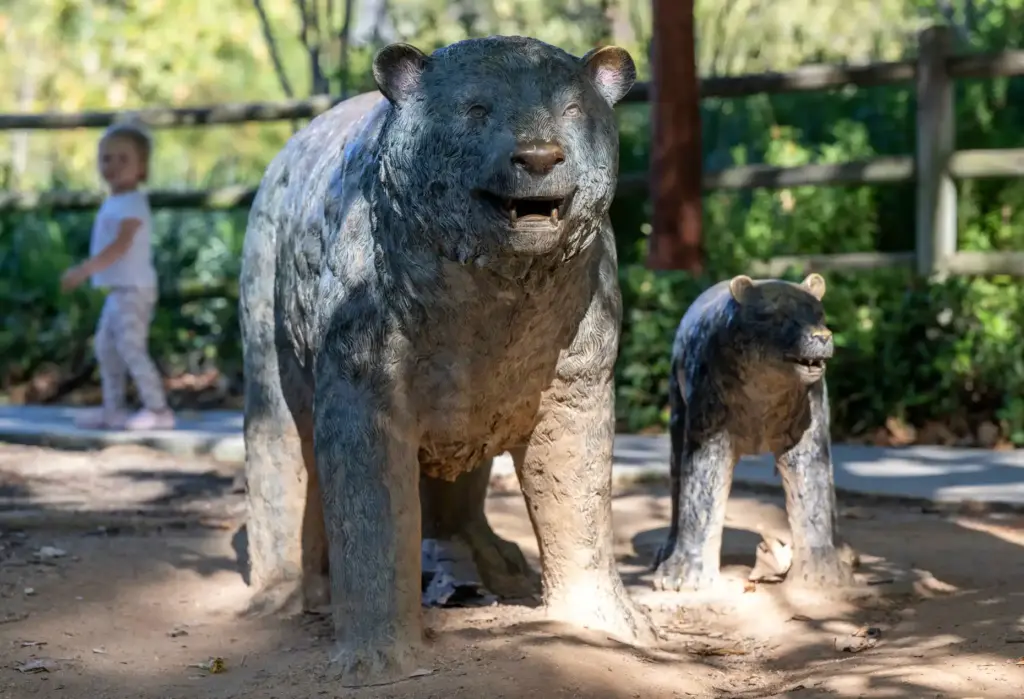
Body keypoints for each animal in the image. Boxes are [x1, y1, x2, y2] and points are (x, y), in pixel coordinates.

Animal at [238, 35, 657, 686]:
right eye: (476, 110)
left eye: (570, 110)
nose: (539, 155)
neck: (491, 296)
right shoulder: (362, 388)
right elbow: (371, 519)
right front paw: (376, 655)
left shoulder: (576, 384)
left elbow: (578, 502)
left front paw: (612, 625)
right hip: (268, 346)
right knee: (277, 459)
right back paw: (284, 595)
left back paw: (492, 562)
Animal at [651, 272, 855, 592]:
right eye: (779, 314)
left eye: (819, 314)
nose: (821, 336)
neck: (765, 390)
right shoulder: (708, 434)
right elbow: (700, 497)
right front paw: (682, 575)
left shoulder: (808, 437)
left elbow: (813, 495)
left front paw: (824, 572)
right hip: (677, 418)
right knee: (676, 485)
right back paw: (666, 551)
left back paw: (844, 552)